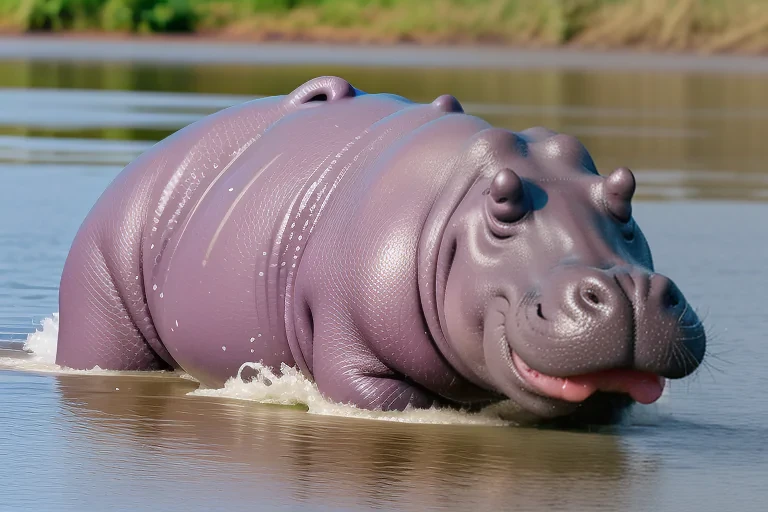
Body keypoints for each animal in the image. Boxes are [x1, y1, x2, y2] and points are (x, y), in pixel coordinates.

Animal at [56, 76, 706, 426]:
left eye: (623, 190)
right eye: (503, 205)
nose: (626, 291)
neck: (456, 204)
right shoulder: (355, 340)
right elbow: (382, 394)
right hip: (101, 282)